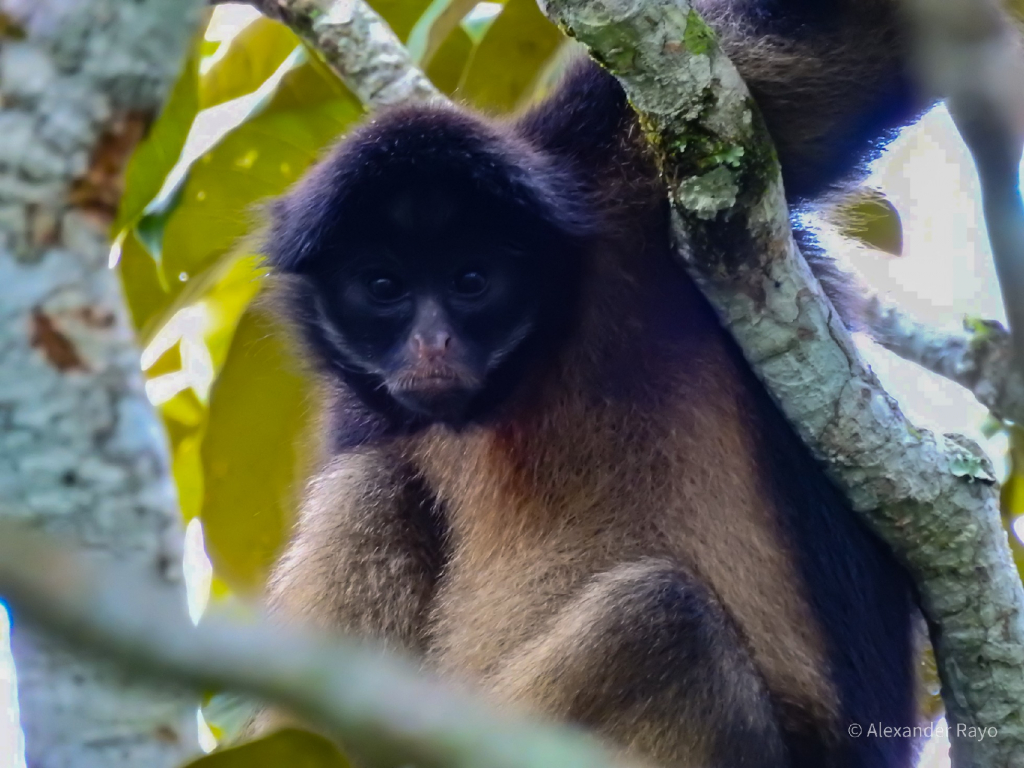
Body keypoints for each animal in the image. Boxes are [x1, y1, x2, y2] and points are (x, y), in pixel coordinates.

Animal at [247, 1, 958, 768]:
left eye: (472, 280)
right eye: (383, 288)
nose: (431, 343)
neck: (525, 378)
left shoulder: (616, 177)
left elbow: (844, 42)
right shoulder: (366, 404)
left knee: (661, 622)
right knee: (372, 483)